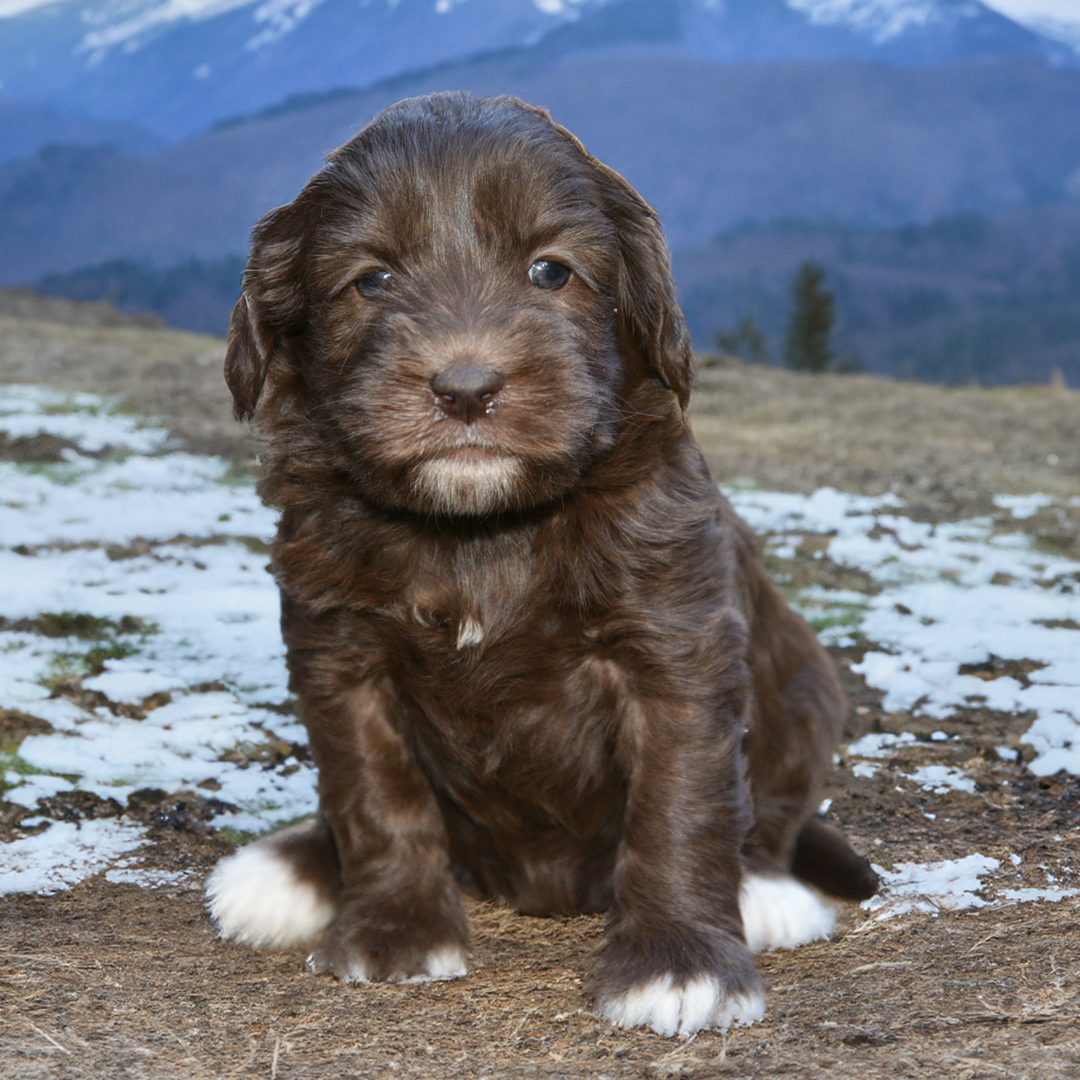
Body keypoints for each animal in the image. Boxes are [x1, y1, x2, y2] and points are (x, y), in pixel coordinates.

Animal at [206, 92, 881, 1036]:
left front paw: (679, 962)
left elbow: (680, 804)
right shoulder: (339, 652)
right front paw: (395, 930)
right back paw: (293, 867)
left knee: (773, 815)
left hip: (808, 689)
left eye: (551, 272)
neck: (481, 531)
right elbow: (374, 790)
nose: (465, 389)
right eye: (371, 280)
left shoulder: (673, 647)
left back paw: (766, 891)